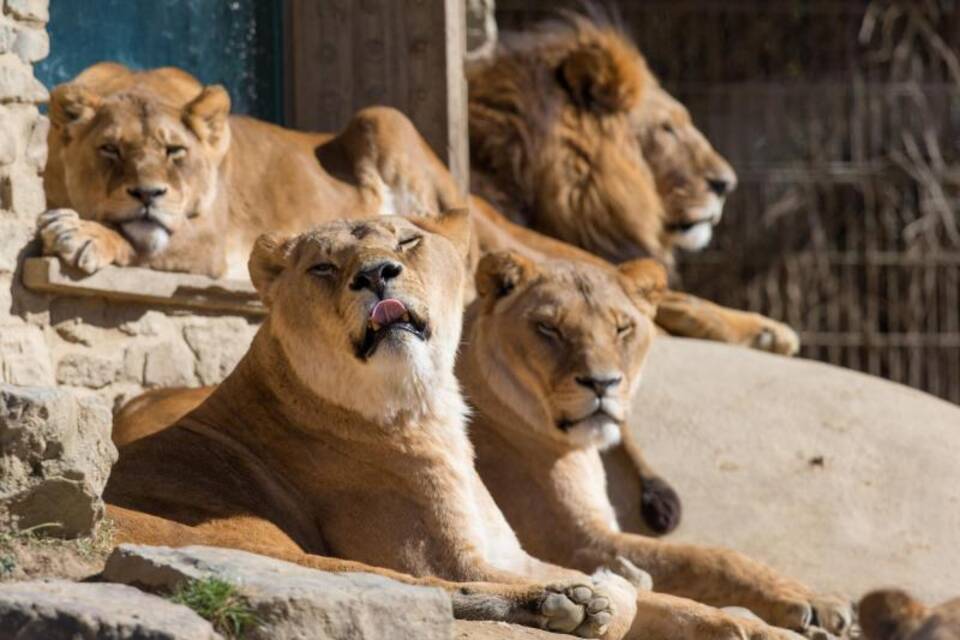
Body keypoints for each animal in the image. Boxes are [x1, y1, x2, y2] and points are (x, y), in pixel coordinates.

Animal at [41, 63, 468, 280]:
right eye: (110, 149)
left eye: (175, 150)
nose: (148, 194)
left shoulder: (209, 239)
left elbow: (142, 241)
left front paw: (81, 233)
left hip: (382, 116)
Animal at [103, 215, 636, 640]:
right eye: (322, 266)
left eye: (407, 241)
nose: (376, 273)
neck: (426, 403)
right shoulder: (446, 557)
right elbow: (625, 597)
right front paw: (606, 588)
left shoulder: (512, 553)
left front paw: (616, 580)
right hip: (240, 541)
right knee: (407, 588)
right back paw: (566, 602)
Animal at [458, 251, 856, 640]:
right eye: (547, 328)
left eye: (623, 328)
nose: (602, 383)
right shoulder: (574, 539)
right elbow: (707, 558)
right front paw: (810, 600)